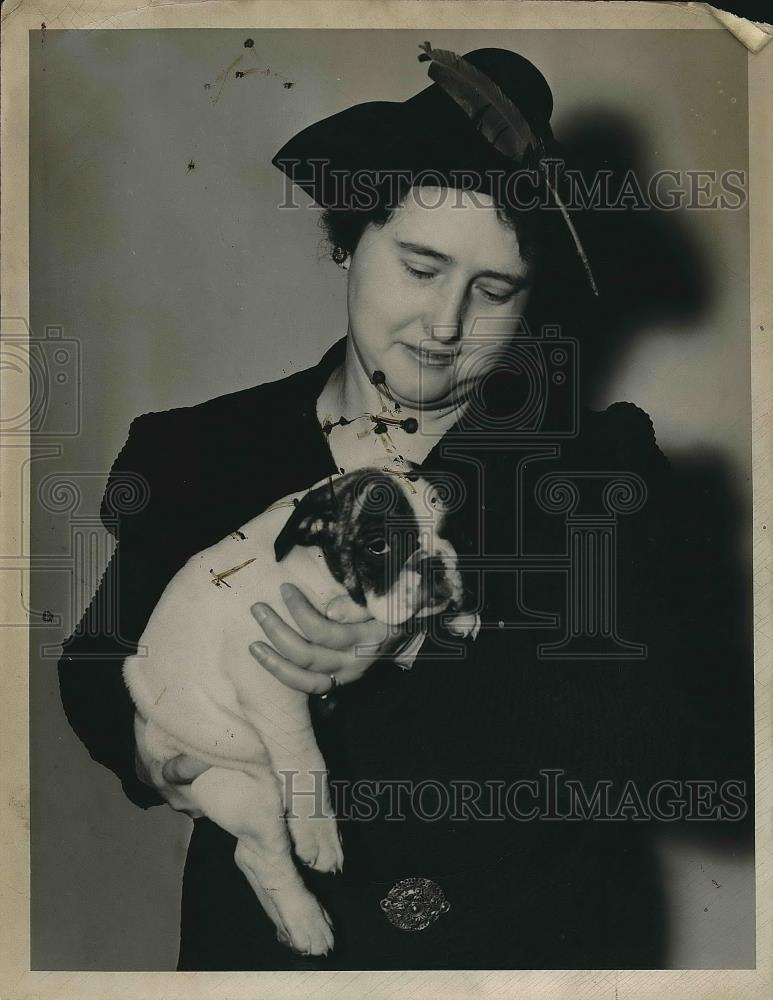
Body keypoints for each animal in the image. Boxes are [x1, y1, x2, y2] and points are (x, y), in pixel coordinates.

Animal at [123, 468, 474, 952]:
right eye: (378, 547)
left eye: (451, 530)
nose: (434, 565)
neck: (315, 568)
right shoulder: (268, 676)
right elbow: (306, 756)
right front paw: (318, 831)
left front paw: (458, 617)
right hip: (243, 784)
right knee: (265, 855)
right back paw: (306, 921)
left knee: (247, 855)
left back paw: (290, 925)